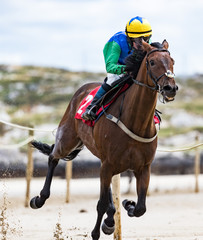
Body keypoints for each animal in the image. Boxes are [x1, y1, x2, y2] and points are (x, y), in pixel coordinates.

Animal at [29, 40, 178, 239]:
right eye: (152, 62)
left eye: (172, 61)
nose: (170, 88)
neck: (134, 121)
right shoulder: (108, 164)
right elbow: (100, 204)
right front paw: (96, 231)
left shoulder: (143, 167)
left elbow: (140, 208)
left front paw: (127, 205)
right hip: (68, 139)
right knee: (53, 156)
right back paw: (39, 198)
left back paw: (110, 218)